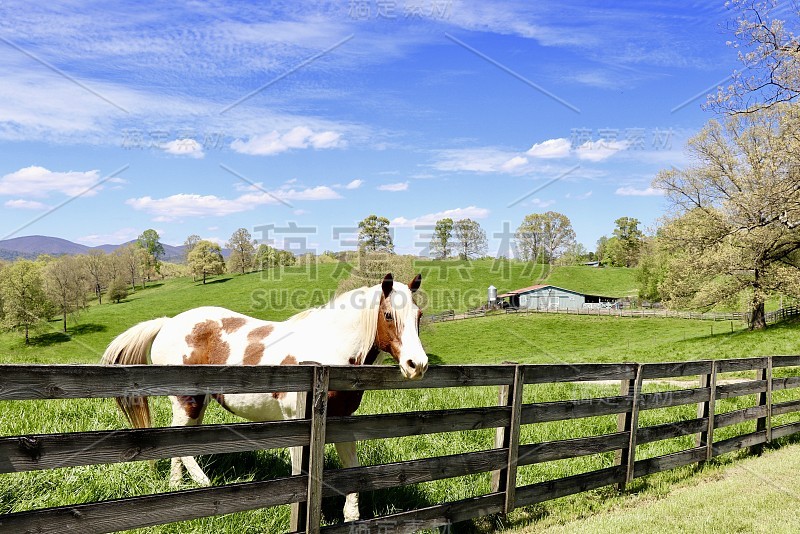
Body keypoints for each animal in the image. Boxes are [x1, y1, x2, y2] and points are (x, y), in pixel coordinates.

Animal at [101, 274, 424, 524]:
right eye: (388, 315)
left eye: (418, 316)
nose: (417, 364)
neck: (328, 348)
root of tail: (168, 323)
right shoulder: (299, 422)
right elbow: (299, 472)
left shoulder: (343, 421)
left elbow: (351, 467)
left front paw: (352, 516)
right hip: (186, 400)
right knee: (178, 441)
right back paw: (203, 483)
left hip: (197, 403)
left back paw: (177, 485)